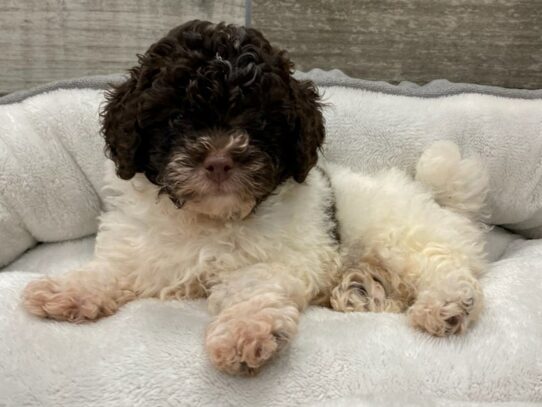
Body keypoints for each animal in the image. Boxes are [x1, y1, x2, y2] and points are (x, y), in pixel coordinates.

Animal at [22, 19, 488, 376]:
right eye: (176, 118)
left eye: (260, 122)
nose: (219, 161)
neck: (210, 219)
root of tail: (436, 196)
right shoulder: (140, 247)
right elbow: (110, 269)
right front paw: (66, 290)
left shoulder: (290, 256)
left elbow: (253, 284)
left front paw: (245, 332)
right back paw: (360, 289)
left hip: (400, 235)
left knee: (445, 267)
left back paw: (447, 306)